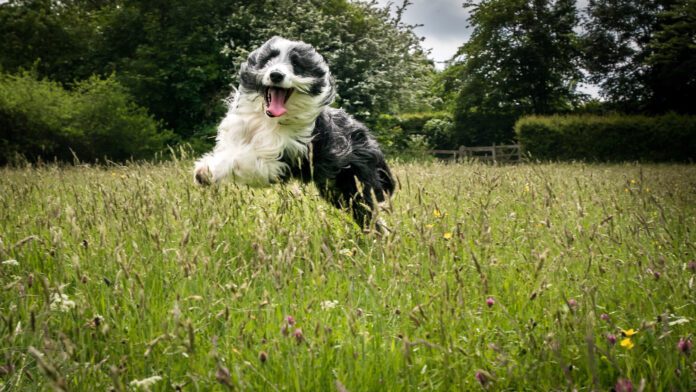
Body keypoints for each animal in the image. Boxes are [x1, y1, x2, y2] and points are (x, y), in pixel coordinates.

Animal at [193, 36, 394, 228]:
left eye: (296, 64)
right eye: (268, 59)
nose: (276, 75)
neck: (268, 121)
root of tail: (368, 137)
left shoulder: (278, 160)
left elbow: (242, 159)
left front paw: (206, 173)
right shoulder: (236, 134)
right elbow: (229, 152)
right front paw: (206, 168)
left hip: (358, 183)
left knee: (369, 209)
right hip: (338, 190)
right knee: (362, 213)